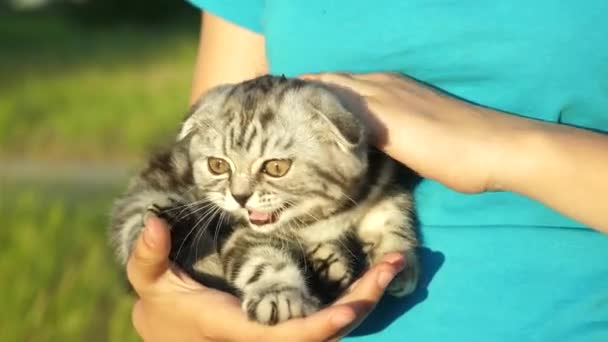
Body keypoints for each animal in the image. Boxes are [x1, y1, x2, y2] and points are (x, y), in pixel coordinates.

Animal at [110, 75, 418, 326]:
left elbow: (392, 220)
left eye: (276, 168)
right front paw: (281, 295)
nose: (240, 196)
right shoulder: (236, 234)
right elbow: (262, 261)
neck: (320, 218)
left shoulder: (384, 184)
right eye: (217, 166)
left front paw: (400, 261)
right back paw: (175, 220)